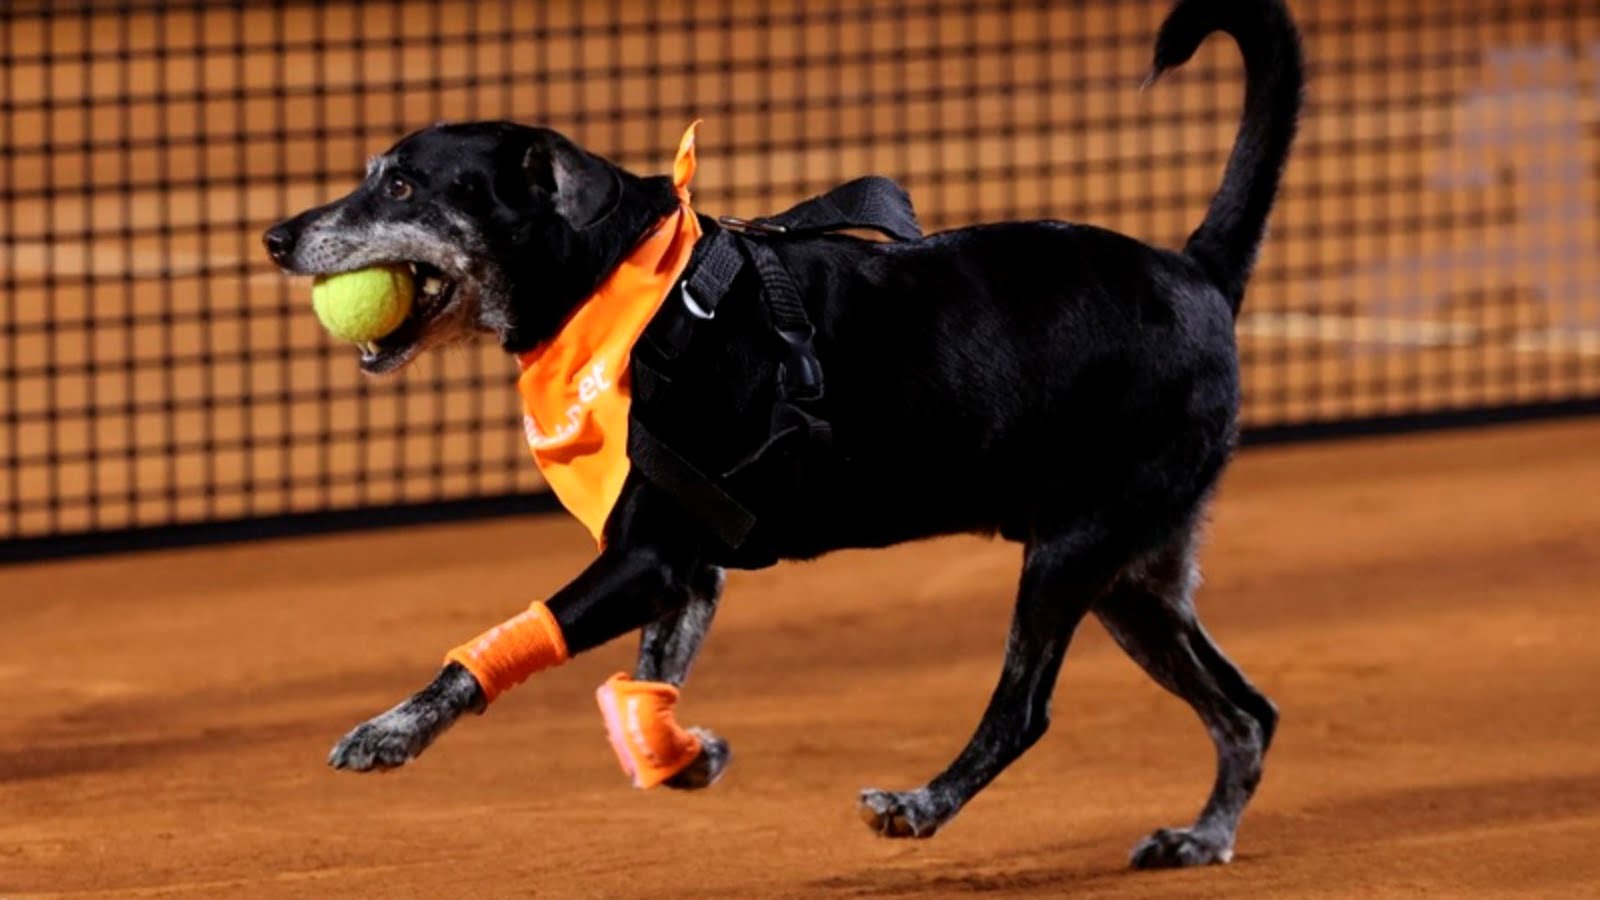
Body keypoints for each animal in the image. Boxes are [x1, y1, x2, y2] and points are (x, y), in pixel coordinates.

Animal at [262, 0, 1305, 864]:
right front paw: (684, 755)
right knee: (1248, 711)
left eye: (402, 186)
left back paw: (922, 805)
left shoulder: (646, 559)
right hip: (1135, 582)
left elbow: (490, 650)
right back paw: (1204, 838)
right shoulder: (690, 572)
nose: (274, 237)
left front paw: (390, 731)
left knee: (1025, 712)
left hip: (1072, 555)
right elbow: (644, 693)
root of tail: (1199, 272)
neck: (625, 291)